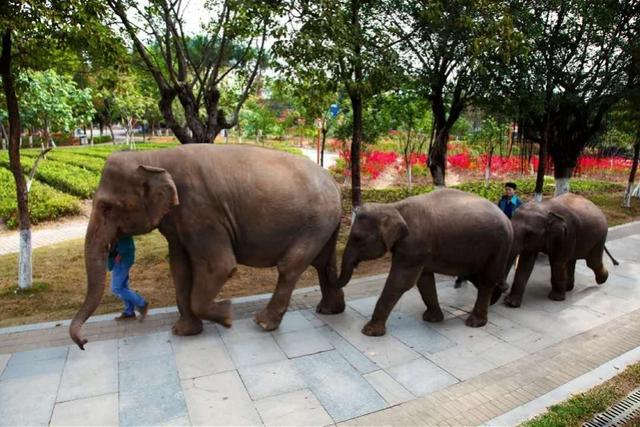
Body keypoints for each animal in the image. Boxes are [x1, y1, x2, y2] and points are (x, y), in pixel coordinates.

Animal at [70, 145, 344, 350]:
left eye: (107, 207)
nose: (84, 342)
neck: (152, 157)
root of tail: (335, 183)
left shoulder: (202, 213)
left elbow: (220, 266)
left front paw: (227, 314)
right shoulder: (178, 222)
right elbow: (179, 268)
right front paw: (184, 331)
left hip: (315, 222)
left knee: (290, 266)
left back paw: (263, 323)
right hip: (325, 224)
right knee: (324, 264)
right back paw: (329, 311)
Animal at [336, 189, 516, 336]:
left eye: (357, 238)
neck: (394, 207)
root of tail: (507, 219)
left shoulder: (413, 245)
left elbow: (401, 282)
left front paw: (369, 332)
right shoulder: (419, 251)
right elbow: (424, 280)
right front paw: (432, 319)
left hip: (498, 246)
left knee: (486, 280)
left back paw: (475, 322)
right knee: (476, 276)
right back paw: (496, 296)